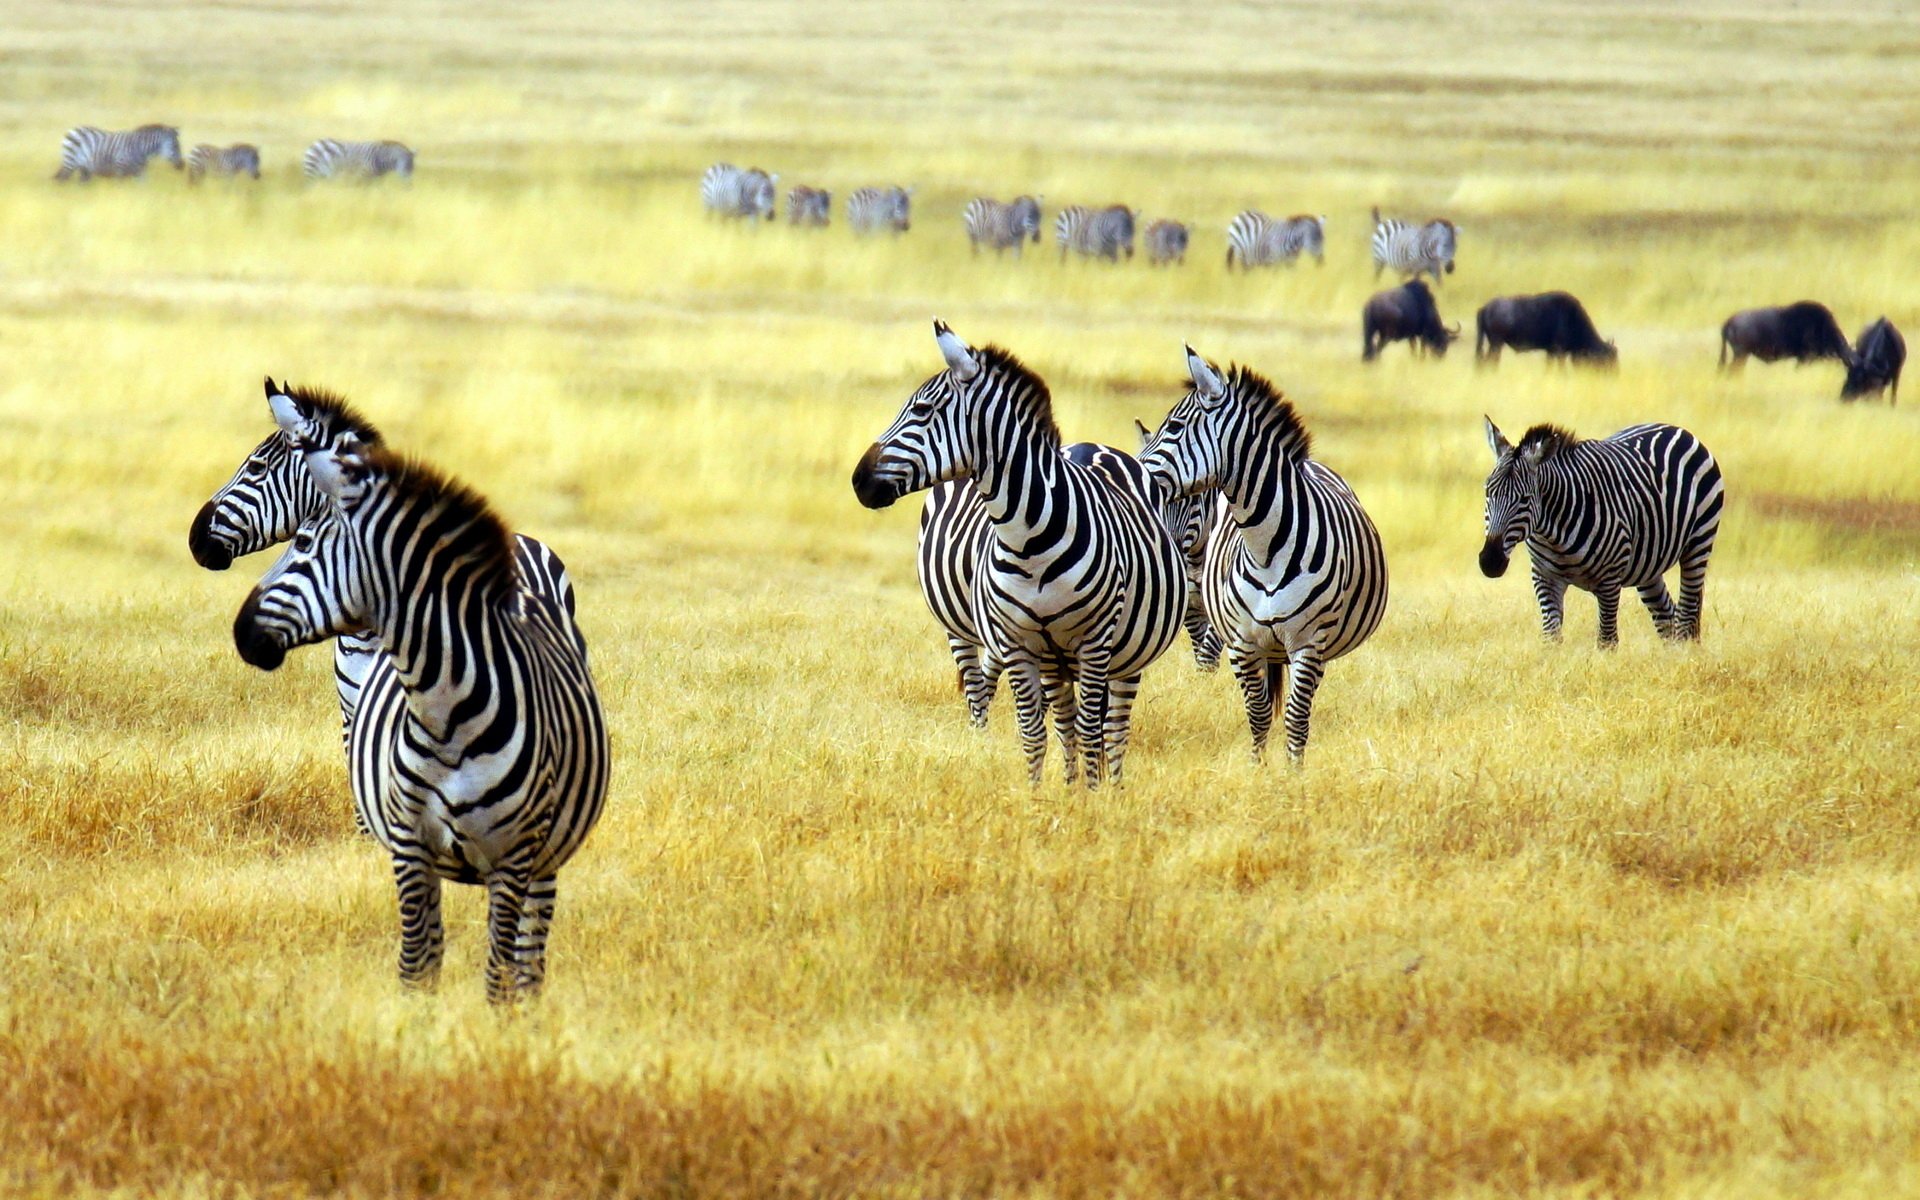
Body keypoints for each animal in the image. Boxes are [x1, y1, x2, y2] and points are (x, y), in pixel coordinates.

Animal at [52, 124, 182, 181]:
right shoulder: (120, 168)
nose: (182, 166)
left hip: (84, 168)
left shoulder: (139, 173)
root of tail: (73, 129)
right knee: (62, 179)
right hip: (70, 161)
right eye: (175, 146)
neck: (139, 149)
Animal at [234, 399, 609, 1004]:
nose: (241, 631)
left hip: (545, 858)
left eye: (257, 467)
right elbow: (417, 962)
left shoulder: (512, 858)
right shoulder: (401, 825)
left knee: (529, 960)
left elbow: (497, 975)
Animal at [853, 321, 1184, 787]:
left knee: (1112, 725)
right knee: (1032, 709)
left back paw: (1111, 786)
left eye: (921, 410)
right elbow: (1034, 730)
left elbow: (1091, 729)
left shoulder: (1094, 641)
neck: (1029, 540)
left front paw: (1093, 795)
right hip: (992, 639)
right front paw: (1039, 793)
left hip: (1124, 651)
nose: (858, 479)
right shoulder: (1019, 642)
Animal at [1139, 349, 1389, 762]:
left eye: (1174, 427)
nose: (1134, 470)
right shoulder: (1242, 642)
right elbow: (1257, 716)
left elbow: (1296, 719)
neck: (1265, 548)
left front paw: (1292, 773)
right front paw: (1258, 769)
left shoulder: (1307, 643)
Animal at [1480, 418, 1724, 646]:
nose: (1490, 562)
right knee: (1667, 615)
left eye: (1525, 499)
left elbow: (1607, 641)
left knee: (1686, 615)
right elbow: (1552, 638)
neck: (1553, 536)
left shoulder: (1609, 581)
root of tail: (1674, 428)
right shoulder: (1544, 577)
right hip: (1648, 566)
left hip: (1698, 544)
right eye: (1488, 492)